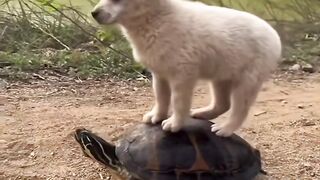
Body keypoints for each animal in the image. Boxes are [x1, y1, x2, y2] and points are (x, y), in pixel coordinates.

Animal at [91, 0, 282, 136]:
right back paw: (202, 114)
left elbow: (178, 102)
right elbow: (161, 97)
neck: (156, 18)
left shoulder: (182, 75)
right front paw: (156, 116)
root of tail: (275, 36)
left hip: (247, 81)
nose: (93, 13)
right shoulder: (159, 73)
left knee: (239, 110)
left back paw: (225, 129)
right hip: (221, 76)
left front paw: (174, 124)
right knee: (223, 104)